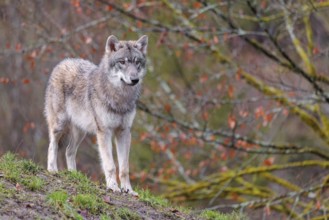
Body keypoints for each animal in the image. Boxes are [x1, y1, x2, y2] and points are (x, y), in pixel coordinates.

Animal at [44, 34, 147, 196]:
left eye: (137, 62)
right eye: (122, 62)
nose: (135, 79)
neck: (120, 98)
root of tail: (63, 62)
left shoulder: (124, 132)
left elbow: (124, 168)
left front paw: (128, 190)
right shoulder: (104, 132)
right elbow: (110, 165)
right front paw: (113, 187)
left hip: (81, 132)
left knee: (69, 151)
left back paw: (74, 175)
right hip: (59, 125)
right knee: (52, 145)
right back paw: (52, 170)